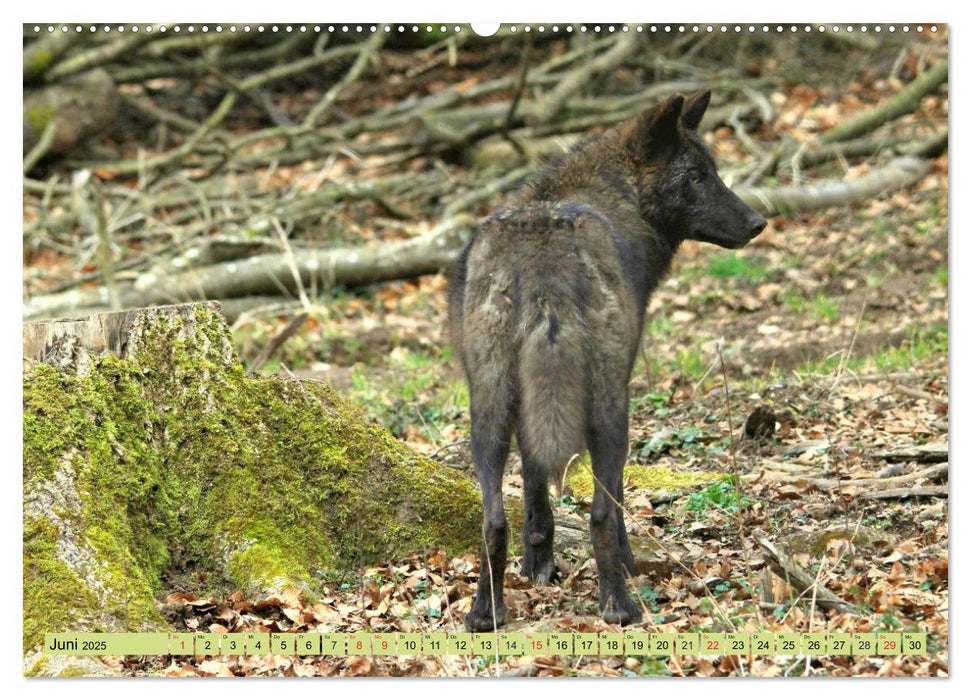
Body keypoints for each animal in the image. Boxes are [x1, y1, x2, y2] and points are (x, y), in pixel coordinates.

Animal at [448, 90, 768, 632]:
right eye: (697, 177)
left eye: (714, 171)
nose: (757, 223)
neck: (611, 197)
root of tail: (543, 252)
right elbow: (613, 506)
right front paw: (626, 563)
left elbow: (535, 492)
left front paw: (537, 566)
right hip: (610, 409)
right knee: (601, 512)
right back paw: (620, 606)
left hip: (487, 417)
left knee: (493, 520)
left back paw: (484, 614)